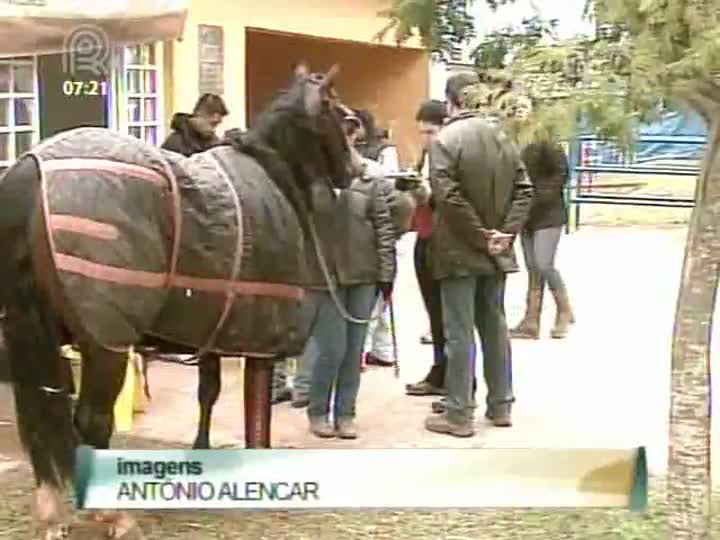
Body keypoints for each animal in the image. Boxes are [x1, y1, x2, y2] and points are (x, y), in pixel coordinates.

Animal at [0, 64, 352, 540]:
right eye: (344, 117)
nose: (353, 170)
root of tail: (29, 174)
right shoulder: (259, 343)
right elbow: (255, 411)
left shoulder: (214, 327)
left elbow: (208, 392)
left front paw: (201, 450)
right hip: (104, 342)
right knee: (89, 420)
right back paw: (114, 514)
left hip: (36, 333)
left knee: (40, 415)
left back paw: (52, 510)